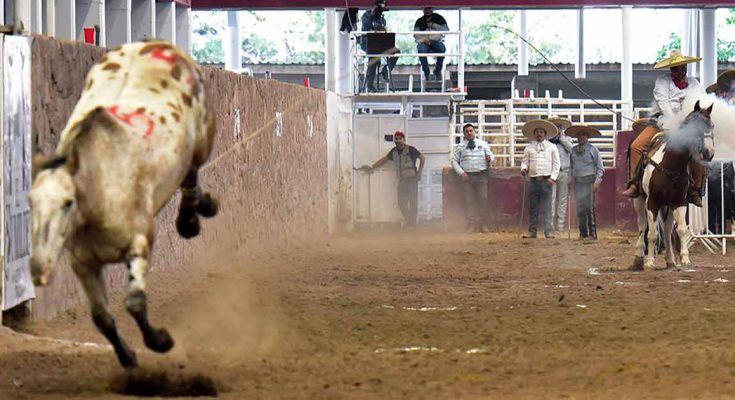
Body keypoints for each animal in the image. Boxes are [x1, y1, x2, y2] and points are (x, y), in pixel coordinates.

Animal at [29, 40, 218, 368]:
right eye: (31, 202)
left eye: (67, 203)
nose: (38, 268)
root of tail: (157, 43)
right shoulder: (83, 263)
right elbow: (101, 317)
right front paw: (127, 356)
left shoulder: (139, 244)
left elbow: (134, 302)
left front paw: (160, 341)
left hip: (203, 139)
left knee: (192, 176)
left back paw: (192, 219)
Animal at [632, 99, 712, 272]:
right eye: (696, 127)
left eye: (712, 125)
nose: (709, 152)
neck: (671, 164)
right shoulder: (652, 201)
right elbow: (652, 233)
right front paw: (649, 262)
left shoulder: (679, 201)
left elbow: (681, 229)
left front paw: (685, 259)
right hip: (639, 200)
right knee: (642, 224)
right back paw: (639, 257)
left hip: (667, 204)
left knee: (668, 229)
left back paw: (670, 260)